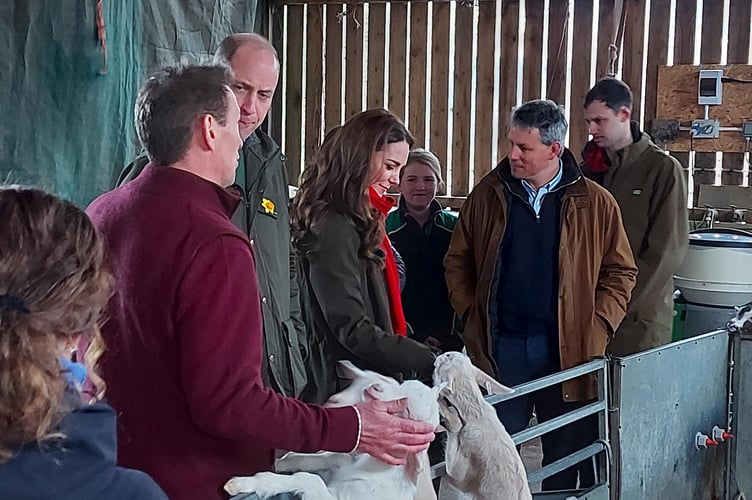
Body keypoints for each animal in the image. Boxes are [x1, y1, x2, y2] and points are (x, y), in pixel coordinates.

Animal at [226, 364, 444, 500]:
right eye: (403, 384)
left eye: (407, 412)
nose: (375, 387)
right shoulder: (340, 461)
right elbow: (308, 460)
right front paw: (273, 467)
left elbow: (309, 479)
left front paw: (241, 483)